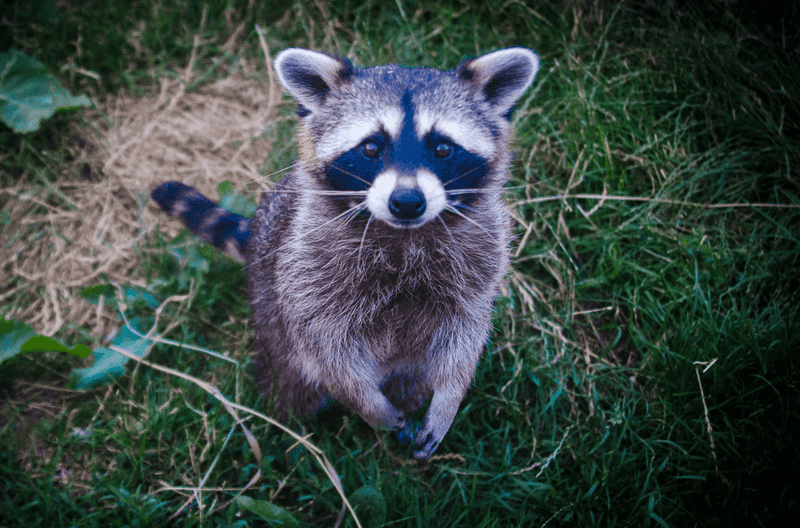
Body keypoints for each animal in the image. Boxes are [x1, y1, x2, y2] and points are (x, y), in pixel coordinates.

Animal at [152, 47, 539, 459]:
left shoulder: (479, 259)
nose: (407, 202)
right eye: (370, 147)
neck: (403, 234)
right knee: (291, 383)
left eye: (443, 147)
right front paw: (367, 404)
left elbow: (465, 336)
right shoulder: (307, 267)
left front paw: (449, 398)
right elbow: (326, 347)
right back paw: (289, 429)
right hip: (268, 307)